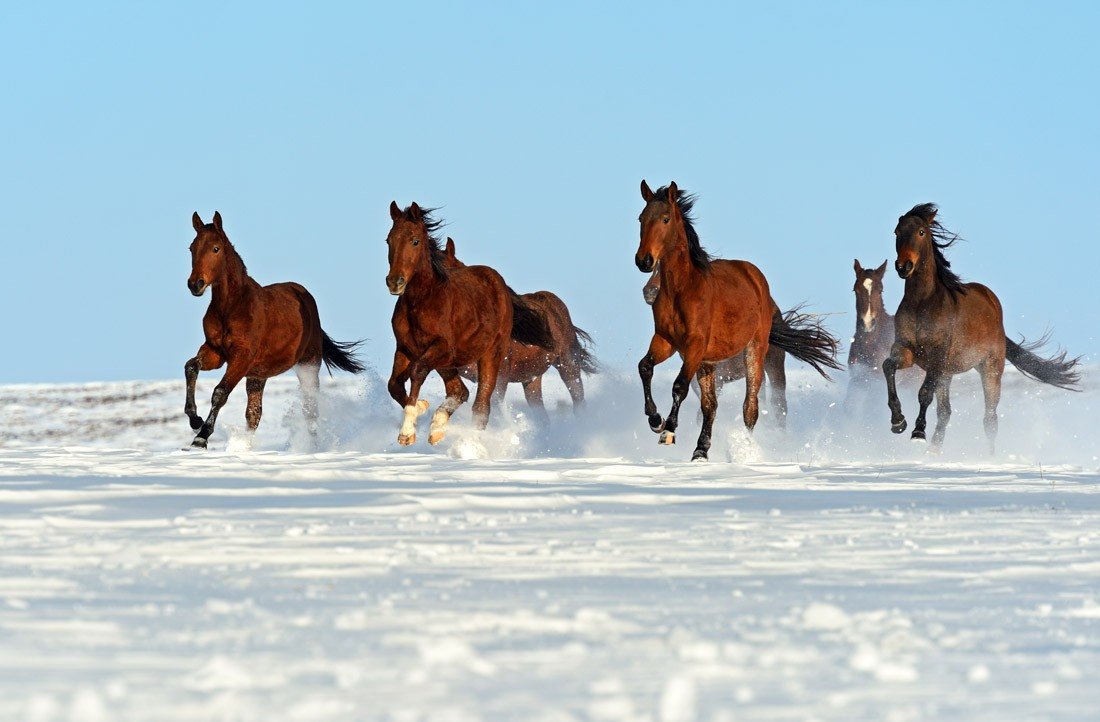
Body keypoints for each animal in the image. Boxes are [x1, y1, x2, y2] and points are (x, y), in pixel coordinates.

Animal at [184, 211, 365, 449]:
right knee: (254, 414)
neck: (231, 307)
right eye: (191, 248)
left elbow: (220, 393)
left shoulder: (241, 358)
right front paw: (194, 419)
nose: (195, 284)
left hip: (308, 365)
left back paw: (312, 447)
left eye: (216, 248)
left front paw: (201, 437)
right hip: (258, 376)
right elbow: (191, 367)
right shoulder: (215, 352)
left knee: (310, 408)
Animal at [385, 202, 555, 446]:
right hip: (448, 363)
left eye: (415, 241)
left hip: (490, 355)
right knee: (460, 391)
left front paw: (407, 431)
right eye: (388, 240)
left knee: (481, 406)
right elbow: (394, 384)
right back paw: (437, 428)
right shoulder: (406, 348)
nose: (394, 282)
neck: (422, 302)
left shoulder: (441, 348)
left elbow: (417, 372)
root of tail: (500, 283)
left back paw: (470, 442)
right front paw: (421, 408)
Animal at [884, 203, 1081, 450]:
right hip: (948, 374)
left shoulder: (936, 358)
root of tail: (995, 312)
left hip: (990, 371)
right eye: (896, 232)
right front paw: (898, 421)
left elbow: (924, 392)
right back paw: (934, 452)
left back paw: (987, 455)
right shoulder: (906, 351)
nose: (904, 266)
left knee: (989, 420)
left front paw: (918, 432)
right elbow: (888, 367)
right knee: (945, 412)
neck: (922, 304)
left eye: (921, 232)